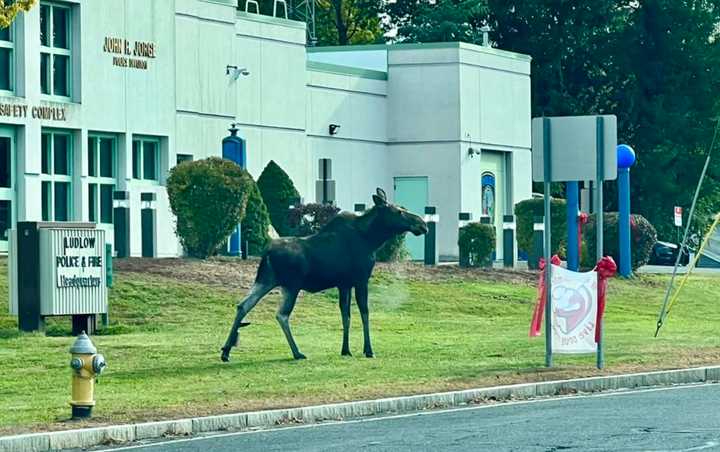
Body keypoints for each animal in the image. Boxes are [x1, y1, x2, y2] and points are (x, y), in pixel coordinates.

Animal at [221, 186, 428, 360]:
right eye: (399, 211)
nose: (423, 225)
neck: (371, 239)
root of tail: (267, 254)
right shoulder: (361, 279)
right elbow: (364, 313)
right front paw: (368, 350)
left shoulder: (344, 284)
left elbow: (346, 316)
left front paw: (346, 350)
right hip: (291, 285)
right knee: (281, 315)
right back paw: (297, 352)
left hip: (266, 280)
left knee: (243, 305)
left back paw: (226, 350)